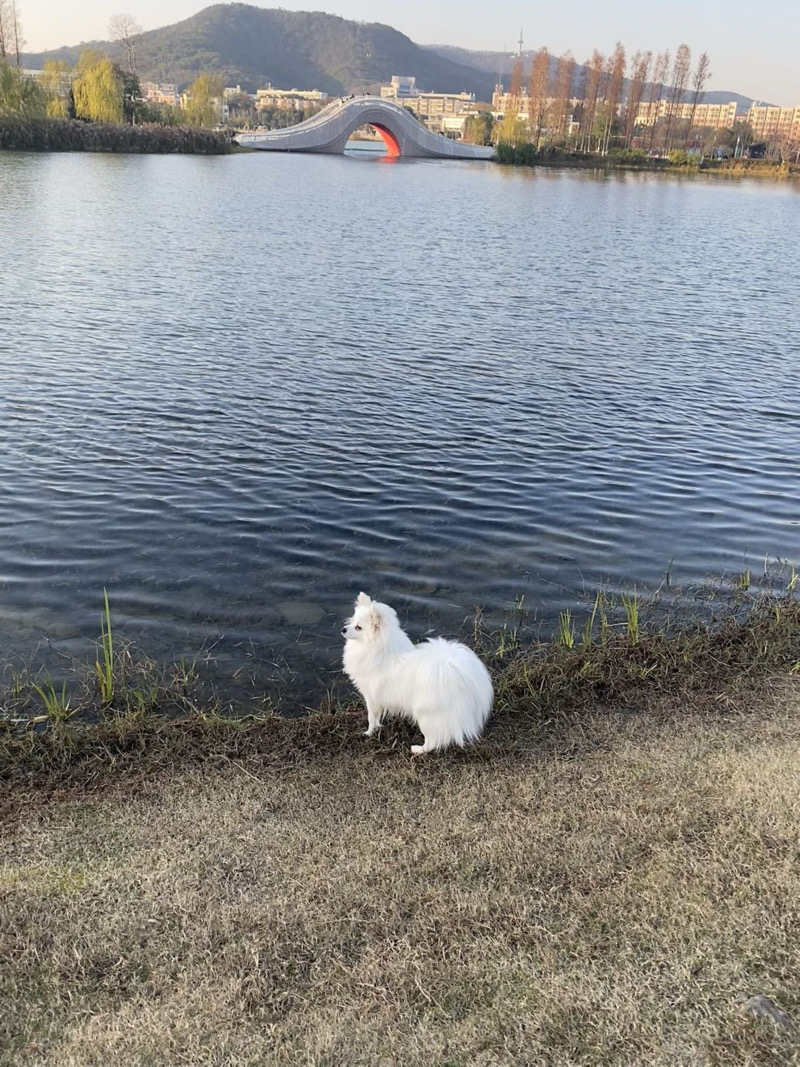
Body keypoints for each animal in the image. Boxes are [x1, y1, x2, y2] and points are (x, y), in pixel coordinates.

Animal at [345, 593, 494, 751]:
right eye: (352, 621)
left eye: (358, 627)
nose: (343, 629)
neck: (376, 647)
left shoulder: (371, 697)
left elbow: (371, 718)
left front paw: (368, 733)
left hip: (426, 716)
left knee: (432, 741)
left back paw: (418, 749)